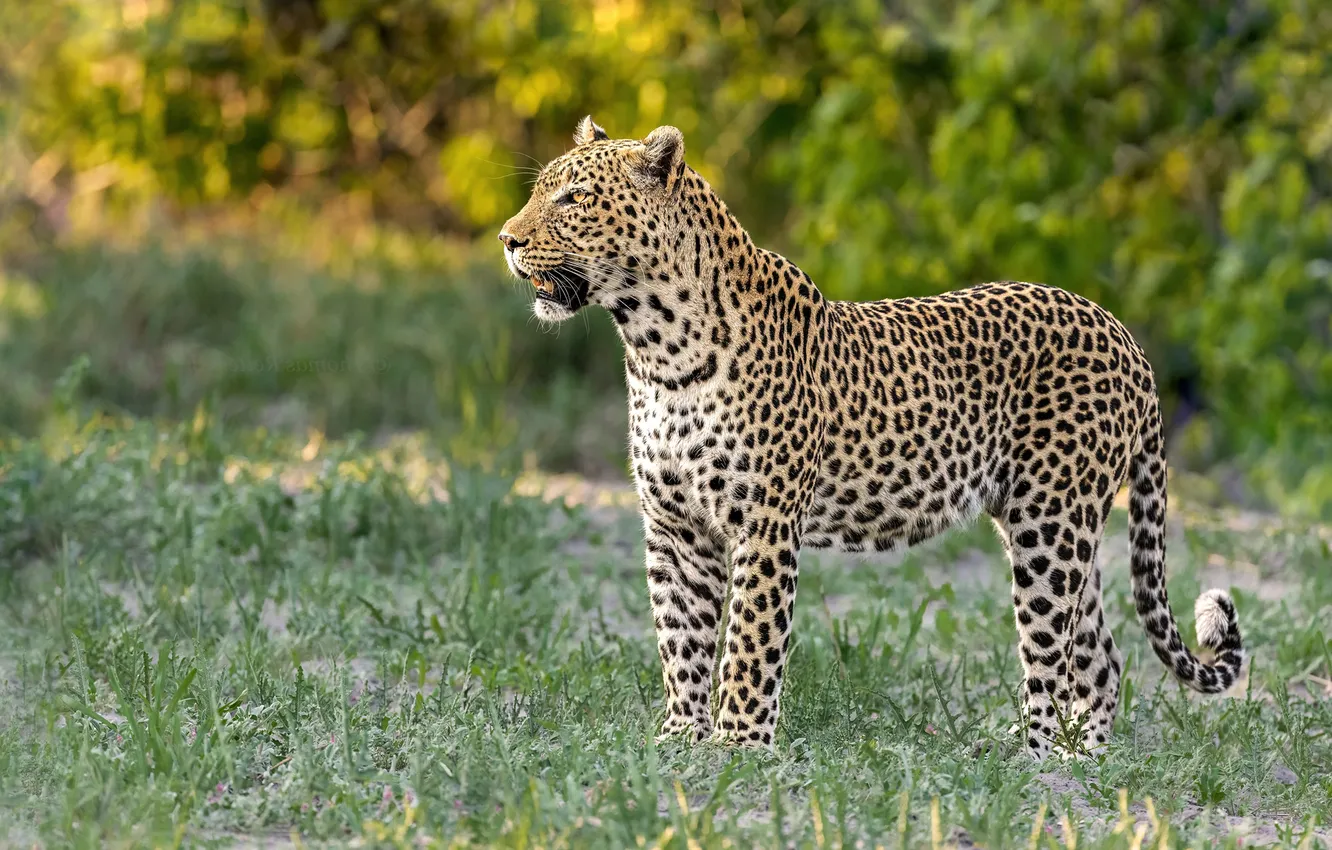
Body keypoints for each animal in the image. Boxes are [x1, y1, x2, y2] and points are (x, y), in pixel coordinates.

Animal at [498, 116, 1245, 759]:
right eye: (540, 190)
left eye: (574, 198)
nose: (507, 239)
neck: (655, 346)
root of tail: (1123, 335)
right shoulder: (675, 526)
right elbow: (681, 638)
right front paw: (682, 739)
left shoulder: (765, 524)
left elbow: (748, 642)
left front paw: (738, 747)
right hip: (1047, 521)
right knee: (1100, 657)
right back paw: (1083, 759)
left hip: (1052, 525)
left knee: (1051, 653)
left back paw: (1030, 761)